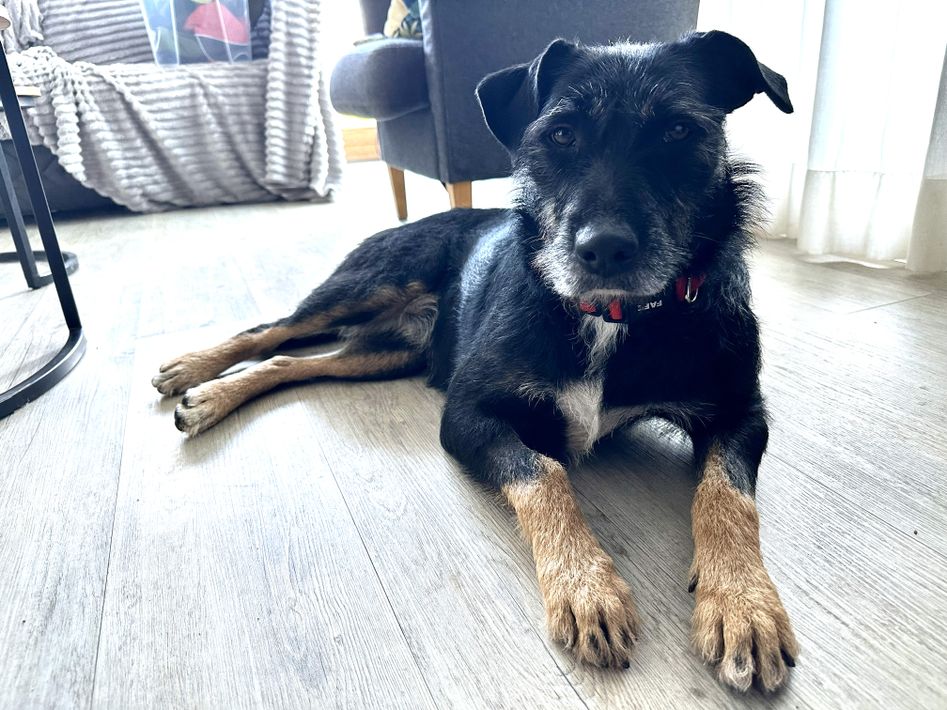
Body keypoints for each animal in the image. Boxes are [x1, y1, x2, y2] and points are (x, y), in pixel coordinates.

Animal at [152, 30, 798, 693]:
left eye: (678, 131)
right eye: (560, 135)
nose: (604, 249)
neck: (609, 315)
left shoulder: (741, 413)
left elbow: (727, 495)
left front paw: (743, 602)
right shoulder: (467, 415)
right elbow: (545, 472)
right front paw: (585, 587)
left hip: (388, 353)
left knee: (297, 362)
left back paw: (209, 394)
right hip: (372, 281)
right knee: (272, 331)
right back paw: (195, 376)